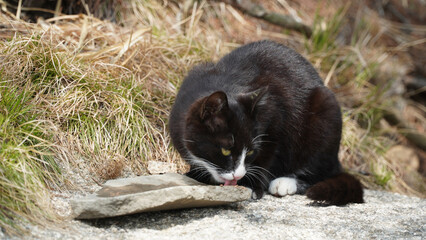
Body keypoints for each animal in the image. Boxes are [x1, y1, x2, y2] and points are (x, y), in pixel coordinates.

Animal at [169, 40, 362, 205]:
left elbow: (267, 153)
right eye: (225, 150)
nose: (238, 175)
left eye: (251, 151)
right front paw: (195, 174)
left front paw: (251, 185)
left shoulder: (275, 118)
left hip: (326, 109)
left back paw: (286, 182)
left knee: (317, 170)